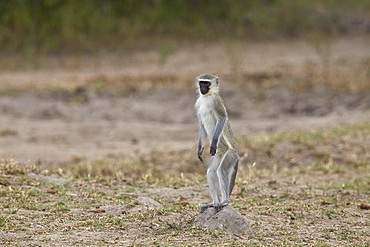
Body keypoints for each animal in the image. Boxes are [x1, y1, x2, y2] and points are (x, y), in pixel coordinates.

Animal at [195, 74, 238, 212]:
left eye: (207, 83)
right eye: (201, 83)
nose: (202, 88)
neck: (207, 97)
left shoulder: (216, 102)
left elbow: (222, 118)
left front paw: (213, 143)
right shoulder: (198, 104)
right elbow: (201, 124)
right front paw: (200, 149)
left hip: (231, 155)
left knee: (222, 170)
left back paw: (225, 201)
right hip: (219, 154)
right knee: (211, 172)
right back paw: (214, 202)